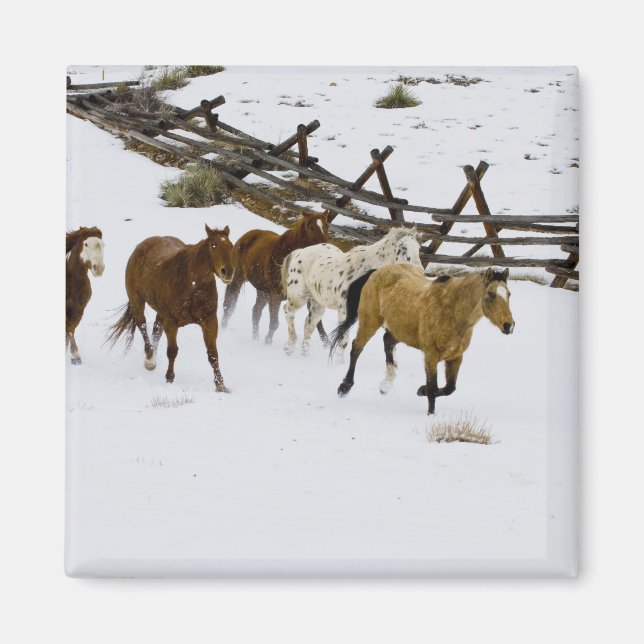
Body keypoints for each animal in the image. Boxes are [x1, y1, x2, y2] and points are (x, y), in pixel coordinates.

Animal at [66, 226, 105, 365]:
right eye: (86, 244)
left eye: (102, 245)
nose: (99, 268)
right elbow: (69, 327)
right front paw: (76, 356)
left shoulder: (79, 310)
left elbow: (71, 329)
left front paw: (74, 356)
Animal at [106, 224, 235, 392]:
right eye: (213, 245)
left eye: (231, 246)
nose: (228, 271)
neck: (193, 285)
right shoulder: (172, 322)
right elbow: (172, 351)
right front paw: (169, 378)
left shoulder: (210, 320)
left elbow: (213, 354)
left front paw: (220, 385)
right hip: (137, 301)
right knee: (142, 326)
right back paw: (150, 360)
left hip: (160, 313)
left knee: (156, 330)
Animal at [222, 212, 329, 344]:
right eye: (311, 227)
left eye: (327, 226)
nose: (325, 246)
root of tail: (247, 236)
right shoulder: (276, 296)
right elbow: (274, 323)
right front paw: (268, 342)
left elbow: (316, 323)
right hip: (238, 279)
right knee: (228, 303)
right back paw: (224, 327)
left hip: (263, 291)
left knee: (256, 312)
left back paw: (255, 337)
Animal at [281, 227, 423, 361]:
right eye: (403, 247)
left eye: (418, 248)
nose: (419, 271)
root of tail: (300, 252)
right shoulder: (345, 312)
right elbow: (343, 342)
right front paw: (339, 365)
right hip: (298, 297)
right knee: (288, 311)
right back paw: (289, 347)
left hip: (317, 305)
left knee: (308, 325)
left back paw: (304, 353)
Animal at [329, 266, 515, 414]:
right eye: (491, 294)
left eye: (509, 294)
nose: (509, 325)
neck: (452, 311)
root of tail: (377, 271)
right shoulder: (431, 355)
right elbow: (433, 388)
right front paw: (430, 413)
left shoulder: (456, 357)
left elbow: (449, 388)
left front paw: (420, 390)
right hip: (370, 322)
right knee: (356, 348)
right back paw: (344, 387)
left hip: (400, 329)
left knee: (387, 341)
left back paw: (386, 384)